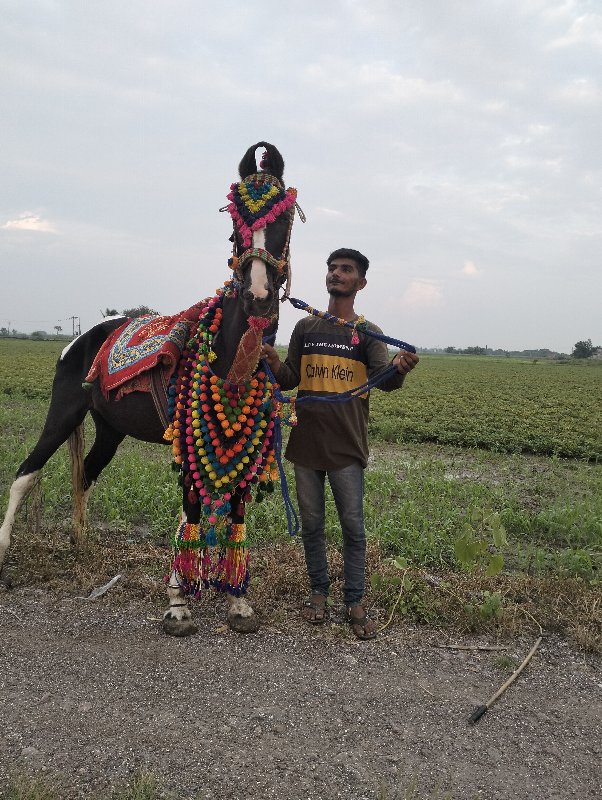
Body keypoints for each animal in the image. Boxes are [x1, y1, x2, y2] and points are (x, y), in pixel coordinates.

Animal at [0, 141, 300, 636]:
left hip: (110, 429)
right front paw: (178, 602)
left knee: (85, 474)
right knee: (27, 471)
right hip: (62, 413)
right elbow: (191, 511)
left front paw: (237, 601)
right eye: (234, 221)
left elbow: (232, 512)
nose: (257, 295)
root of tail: (79, 341)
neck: (230, 354)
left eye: (286, 216)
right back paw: (4, 550)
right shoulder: (188, 439)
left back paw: (80, 542)